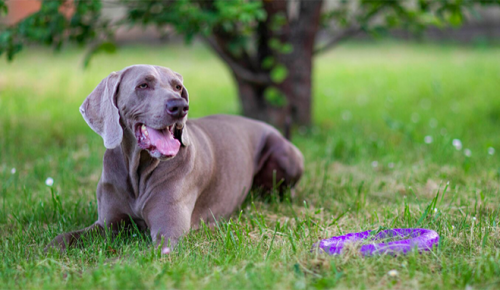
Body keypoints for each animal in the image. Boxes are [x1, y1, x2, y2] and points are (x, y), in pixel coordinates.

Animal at [46, 64, 304, 254]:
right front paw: (49, 249)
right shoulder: (107, 224)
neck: (137, 172)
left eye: (178, 87)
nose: (180, 106)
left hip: (284, 155)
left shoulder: (168, 234)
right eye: (143, 85)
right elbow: (65, 237)